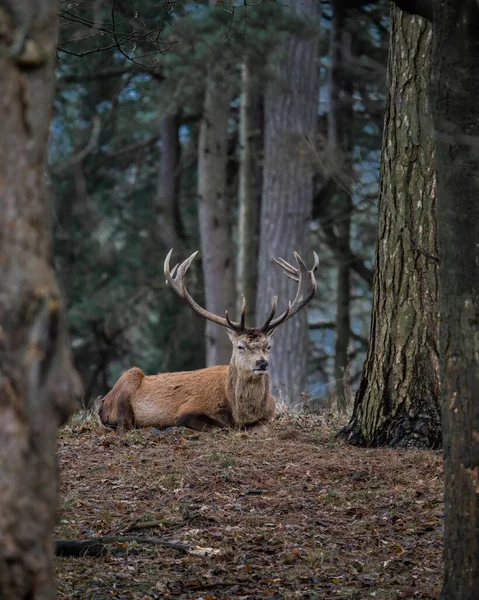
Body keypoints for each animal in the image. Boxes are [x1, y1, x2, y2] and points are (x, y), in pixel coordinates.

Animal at [97, 248, 318, 432]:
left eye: (268, 346)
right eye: (240, 346)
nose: (262, 363)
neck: (239, 414)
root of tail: (102, 404)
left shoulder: (268, 414)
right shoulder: (188, 411)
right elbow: (218, 427)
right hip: (128, 380)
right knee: (124, 425)